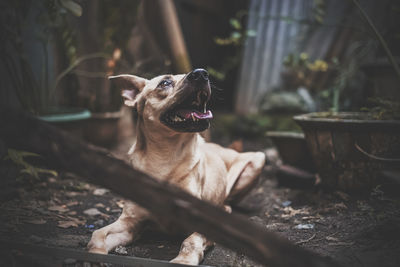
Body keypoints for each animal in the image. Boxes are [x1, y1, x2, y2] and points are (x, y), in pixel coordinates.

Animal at [89, 68, 268, 266]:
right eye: (165, 83)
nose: (201, 73)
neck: (165, 157)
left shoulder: (201, 225)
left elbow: (190, 241)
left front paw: (184, 260)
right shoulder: (130, 222)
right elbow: (98, 233)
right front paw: (96, 253)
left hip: (257, 160)